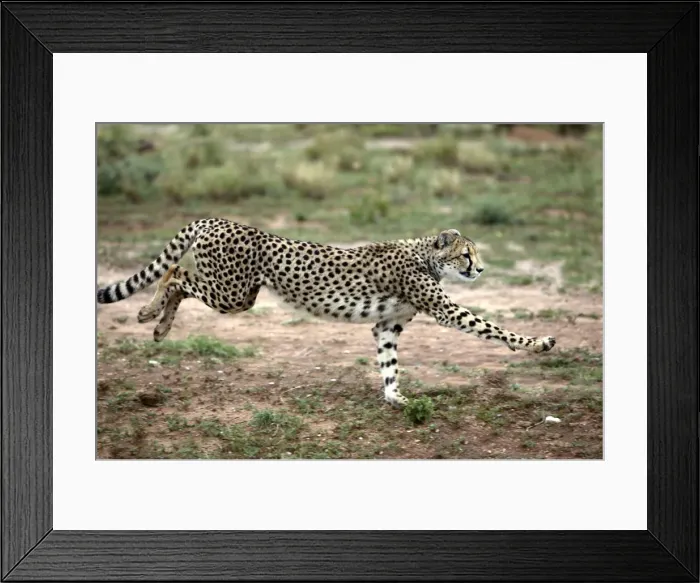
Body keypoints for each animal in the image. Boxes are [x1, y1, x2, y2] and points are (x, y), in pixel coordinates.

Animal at [97, 218, 556, 407]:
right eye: (466, 254)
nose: (480, 269)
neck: (426, 255)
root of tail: (217, 220)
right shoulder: (444, 309)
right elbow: (490, 327)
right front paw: (537, 342)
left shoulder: (386, 325)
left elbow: (389, 363)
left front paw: (394, 397)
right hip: (232, 293)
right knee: (174, 274)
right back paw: (151, 317)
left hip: (236, 294)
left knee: (177, 276)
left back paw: (157, 326)